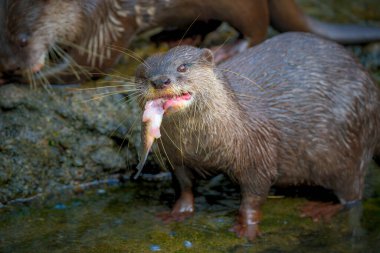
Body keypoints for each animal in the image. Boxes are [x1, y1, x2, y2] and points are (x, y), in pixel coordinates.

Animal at [134, 32, 380, 240]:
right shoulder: (177, 158)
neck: (203, 146)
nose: (160, 80)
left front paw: (247, 227)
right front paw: (178, 212)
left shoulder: (258, 155)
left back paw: (319, 209)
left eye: (183, 67)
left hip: (346, 147)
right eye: (143, 75)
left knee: (353, 194)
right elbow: (184, 187)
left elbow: (253, 197)